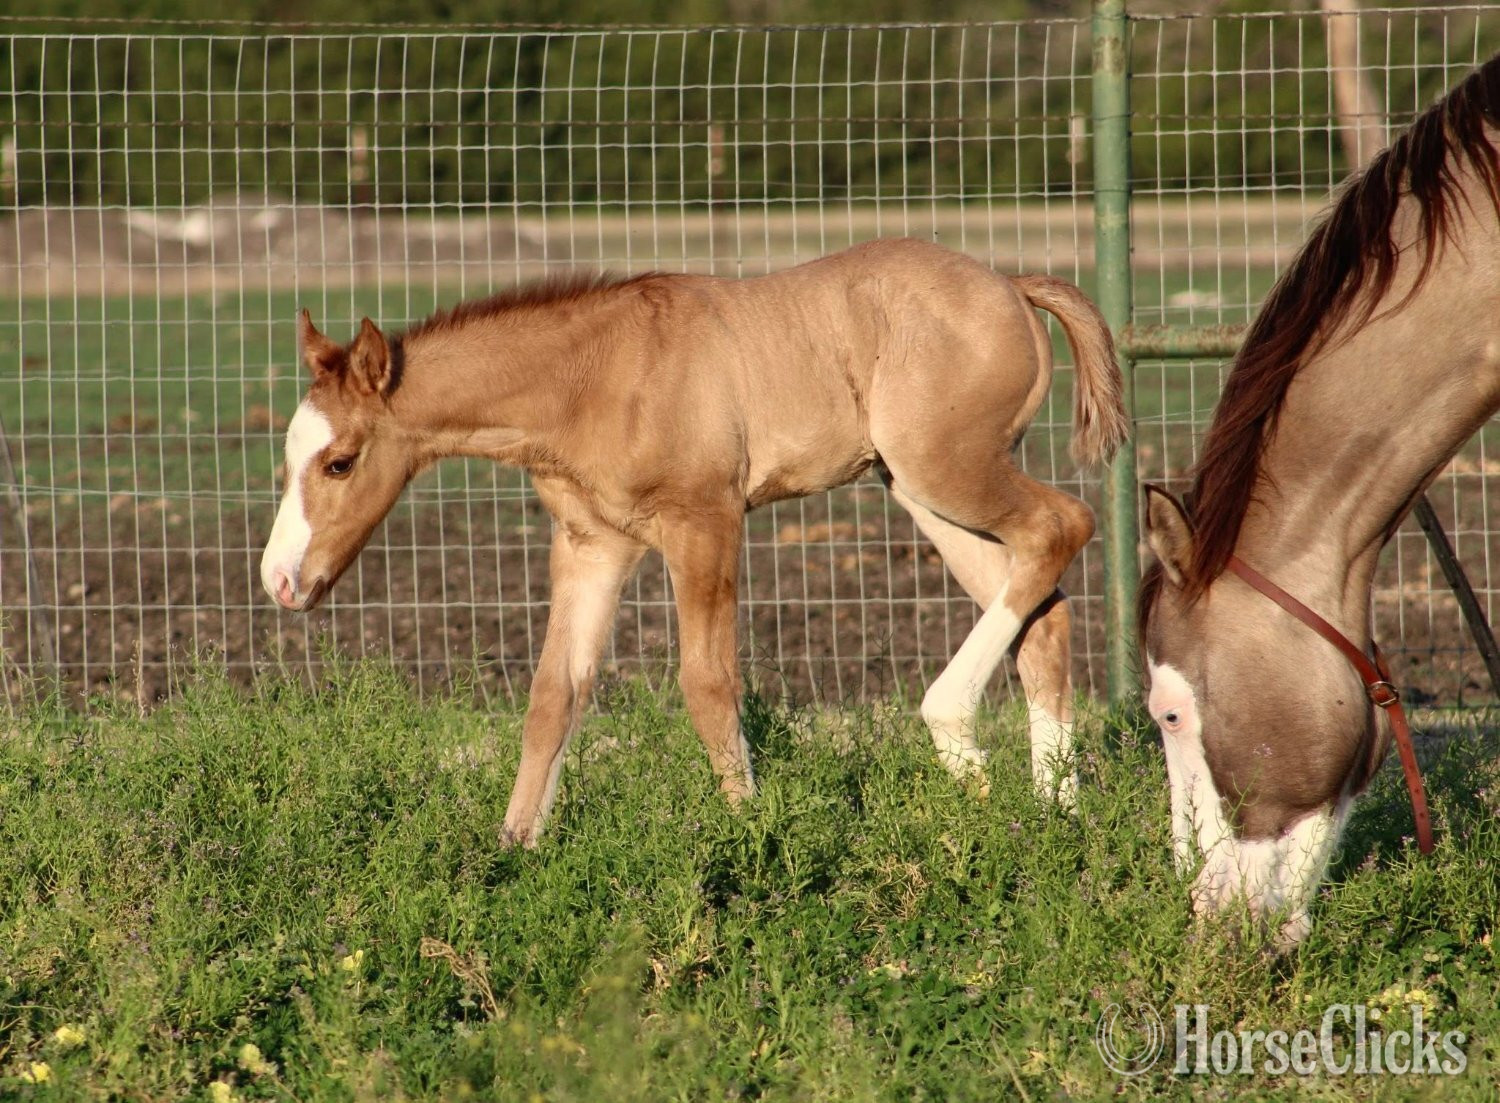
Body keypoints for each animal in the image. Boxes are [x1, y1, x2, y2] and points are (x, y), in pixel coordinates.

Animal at [260, 237, 1127, 845]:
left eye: (340, 461)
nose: (279, 582)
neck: (595, 378)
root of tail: (1012, 285)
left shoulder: (704, 521)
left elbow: (708, 685)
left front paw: (751, 838)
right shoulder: (591, 544)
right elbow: (553, 694)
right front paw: (512, 853)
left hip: (950, 468)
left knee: (1063, 526)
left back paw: (961, 739)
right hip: (921, 492)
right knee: (1043, 614)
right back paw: (1046, 819)